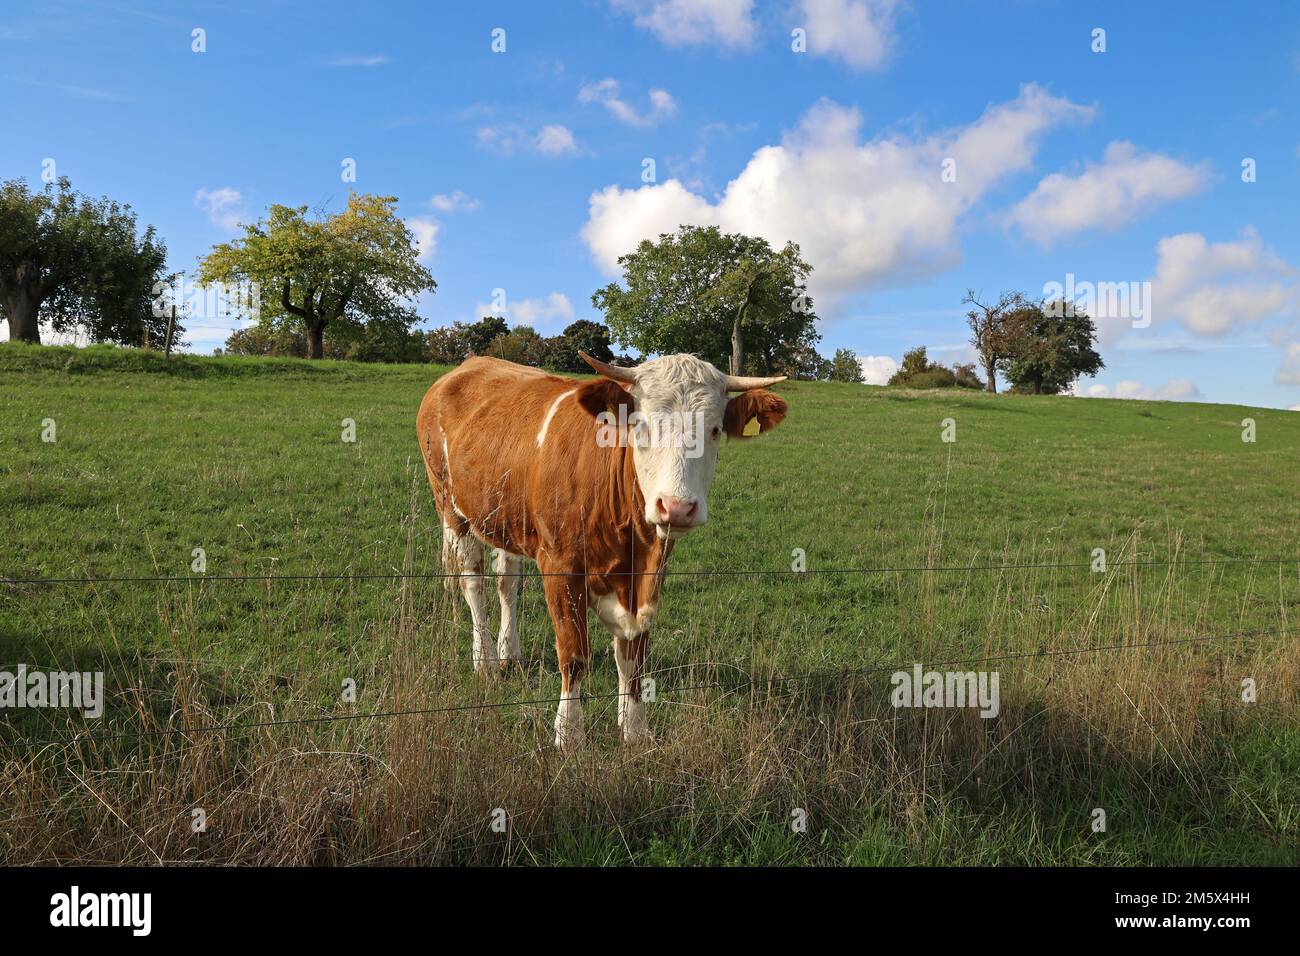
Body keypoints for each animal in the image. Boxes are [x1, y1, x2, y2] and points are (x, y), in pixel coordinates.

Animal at [416, 351, 788, 748]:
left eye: (715, 430)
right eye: (640, 426)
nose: (676, 507)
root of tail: (470, 364)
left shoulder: (649, 575)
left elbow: (633, 657)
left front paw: (635, 729)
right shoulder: (561, 565)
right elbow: (574, 654)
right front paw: (569, 734)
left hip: (506, 518)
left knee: (507, 583)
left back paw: (508, 653)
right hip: (450, 507)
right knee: (474, 584)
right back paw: (484, 661)